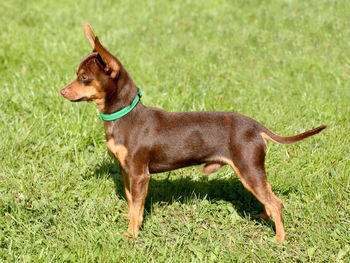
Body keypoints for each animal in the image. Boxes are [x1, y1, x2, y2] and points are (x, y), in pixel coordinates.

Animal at [59, 23, 326, 243]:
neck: (124, 116)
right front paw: (131, 222)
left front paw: (132, 234)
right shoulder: (128, 172)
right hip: (253, 172)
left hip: (248, 169)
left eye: (84, 78)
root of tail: (257, 126)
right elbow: (132, 202)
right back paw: (264, 216)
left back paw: (279, 238)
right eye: (77, 75)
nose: (61, 91)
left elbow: (136, 206)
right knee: (269, 196)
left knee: (277, 202)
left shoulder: (139, 174)